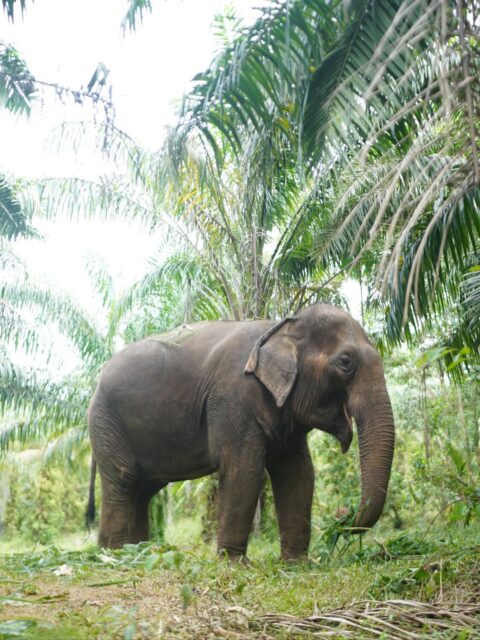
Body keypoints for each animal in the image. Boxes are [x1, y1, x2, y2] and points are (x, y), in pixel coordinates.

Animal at [86, 303, 395, 560]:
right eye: (346, 362)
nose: (342, 514)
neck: (282, 325)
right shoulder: (231, 399)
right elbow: (243, 468)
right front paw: (233, 563)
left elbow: (298, 473)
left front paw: (296, 563)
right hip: (106, 421)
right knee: (124, 479)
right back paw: (113, 555)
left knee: (143, 489)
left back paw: (139, 551)